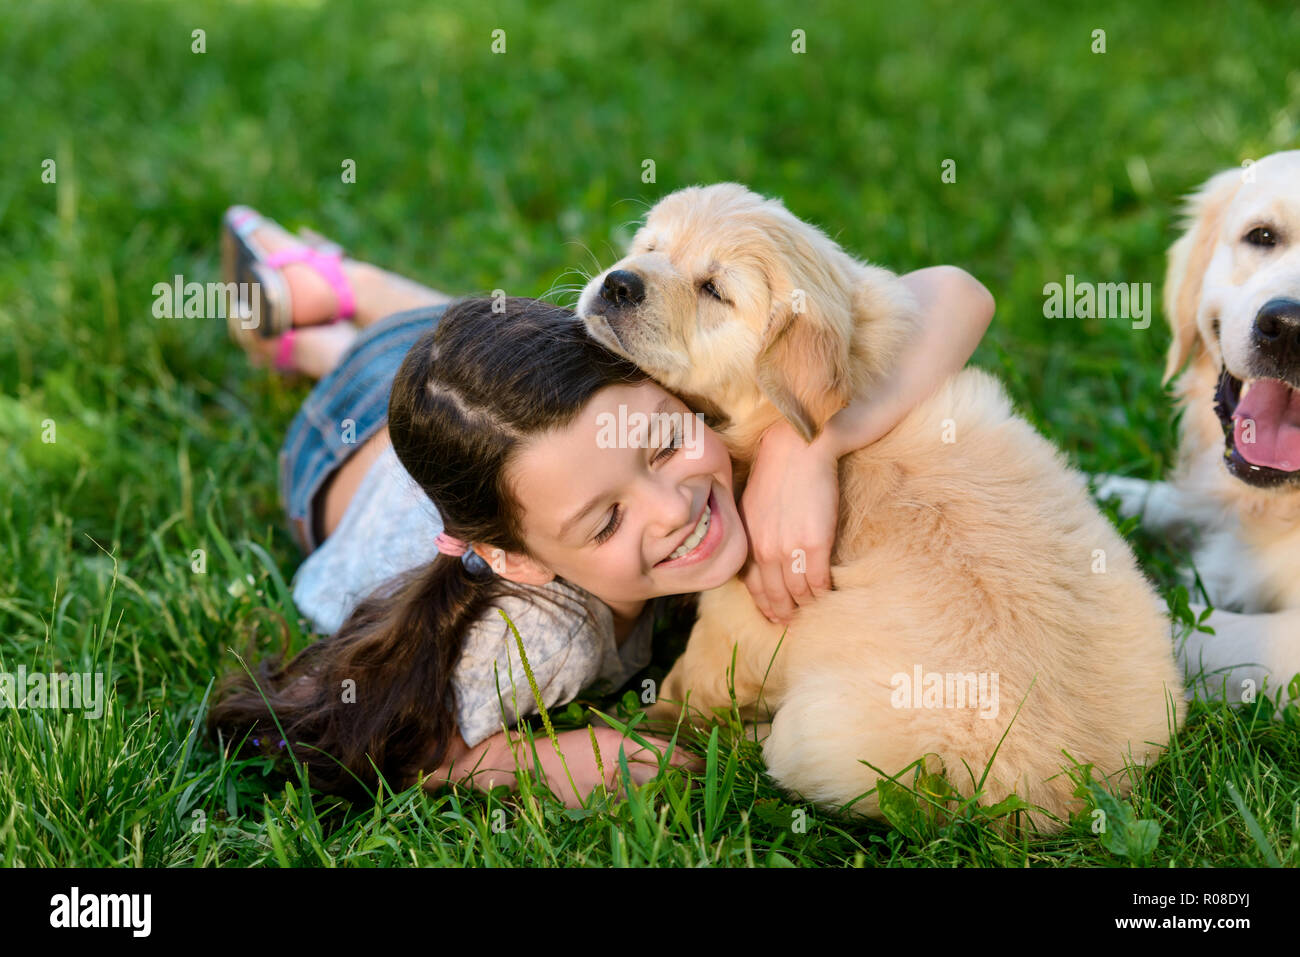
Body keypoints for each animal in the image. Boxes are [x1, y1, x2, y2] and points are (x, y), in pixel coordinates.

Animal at [574, 180, 1185, 832]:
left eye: (714, 290)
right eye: (649, 246)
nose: (618, 283)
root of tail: (1054, 800)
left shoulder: (736, 620)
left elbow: (687, 686)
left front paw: (644, 725)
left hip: (813, 736)